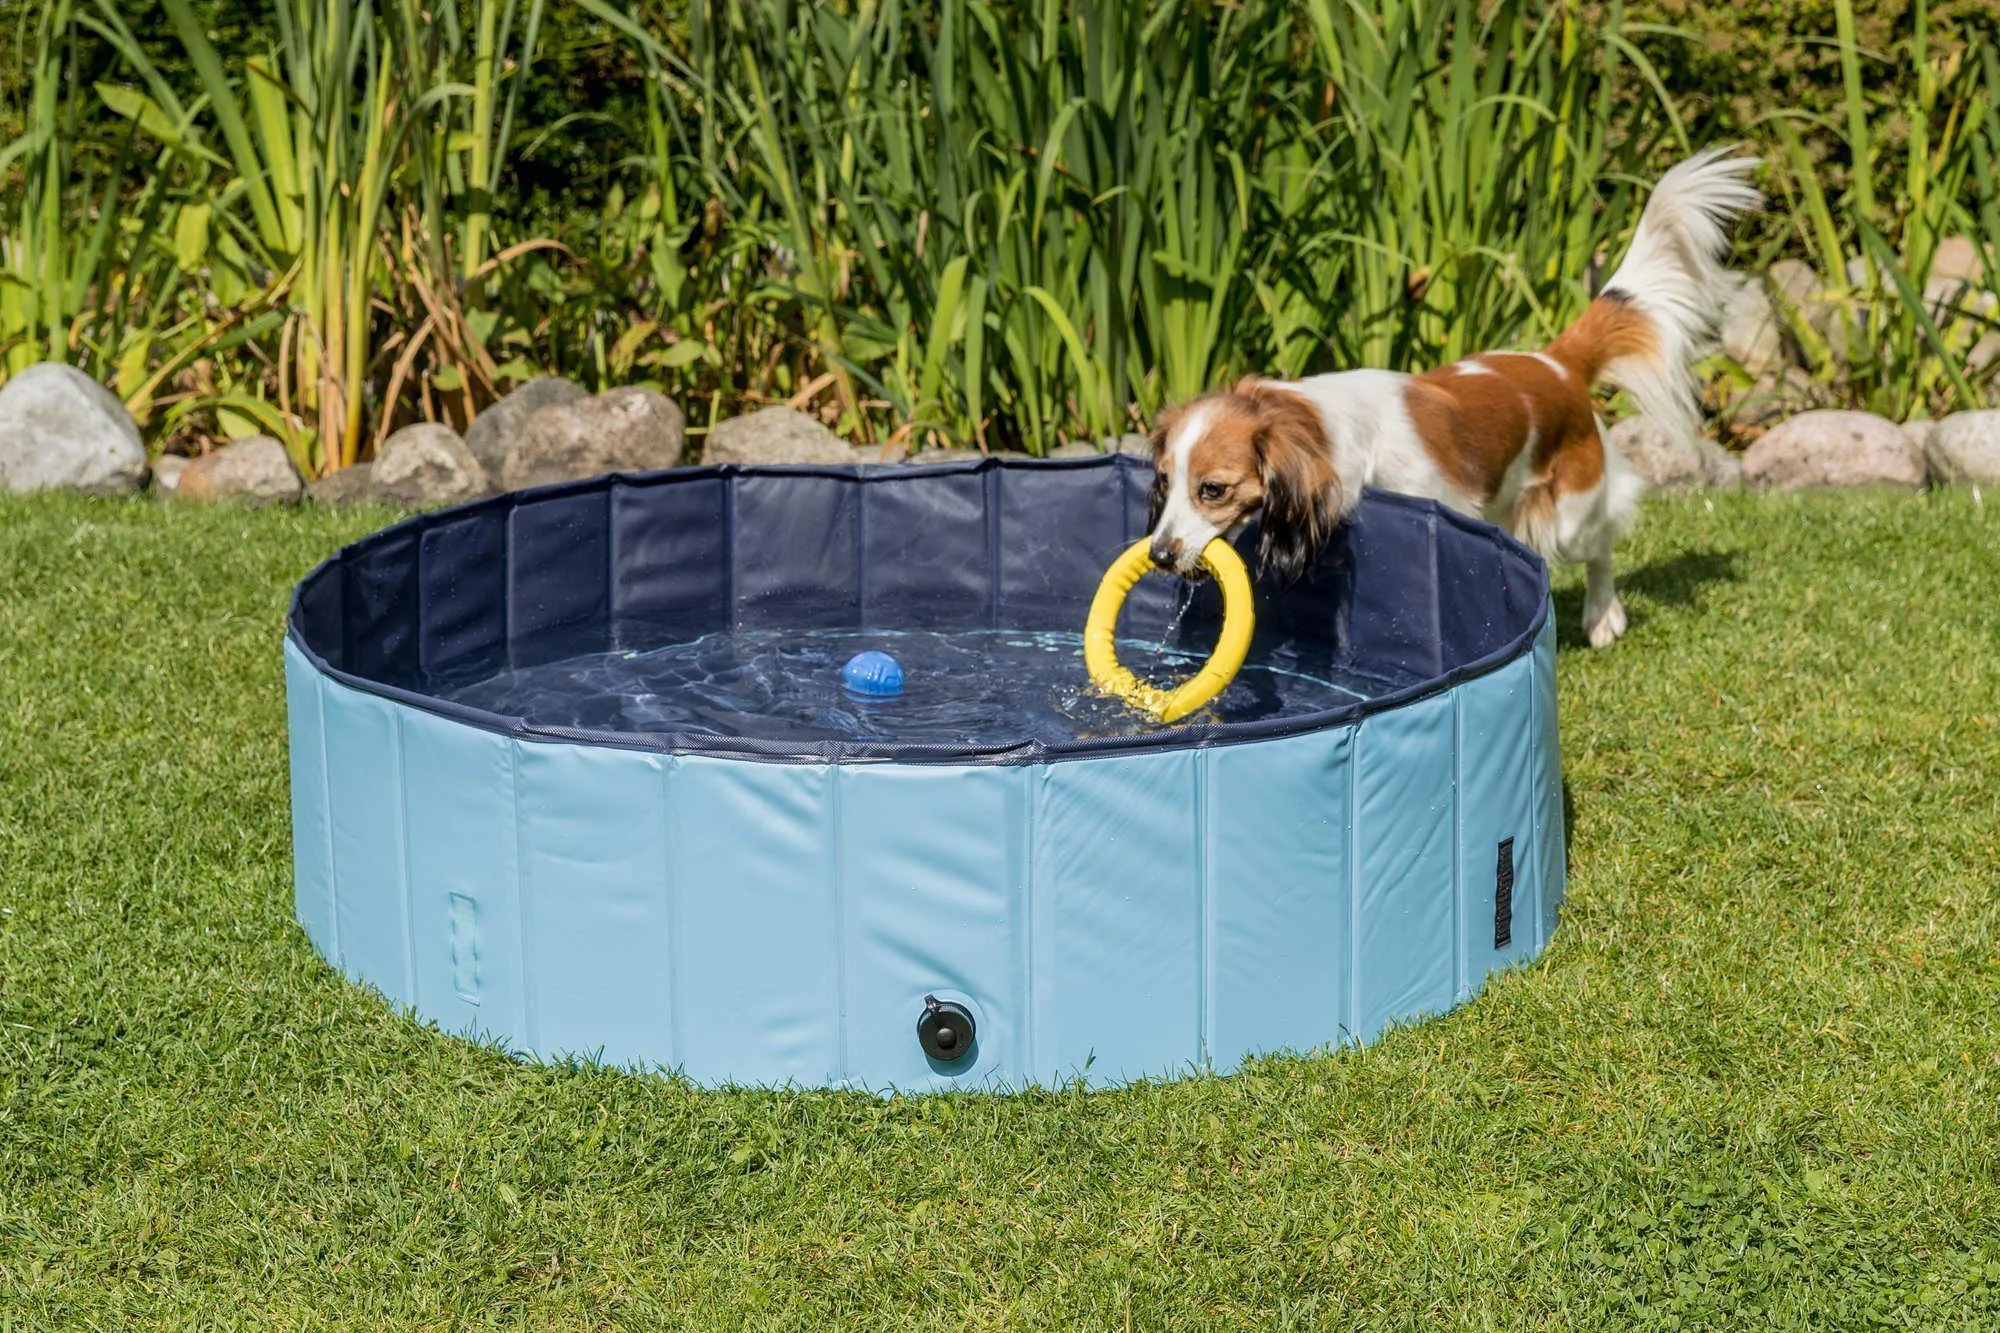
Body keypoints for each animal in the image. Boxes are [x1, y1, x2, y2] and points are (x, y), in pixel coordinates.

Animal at [1152, 148, 1760, 644]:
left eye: (1213, 489)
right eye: (1163, 480)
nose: (1157, 554)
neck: (1339, 434)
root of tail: (1555, 363)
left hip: (1565, 517)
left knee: (1602, 543)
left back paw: (1602, 614)